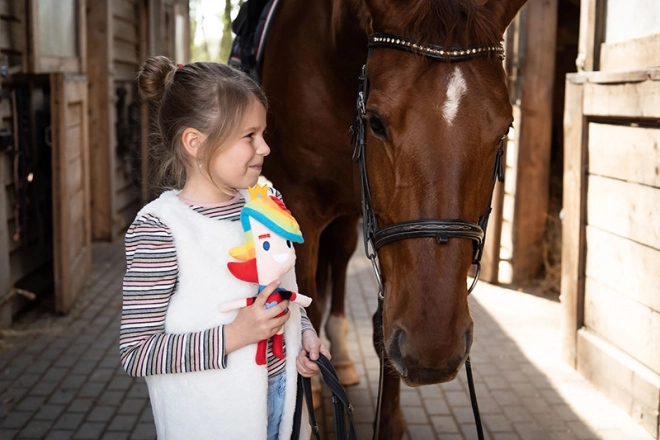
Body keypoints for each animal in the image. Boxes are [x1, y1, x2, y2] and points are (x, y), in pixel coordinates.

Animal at [260, 0, 528, 436]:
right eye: (376, 121)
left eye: (504, 129)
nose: (433, 346)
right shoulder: (301, 207)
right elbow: (307, 303)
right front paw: (313, 387)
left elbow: (380, 325)